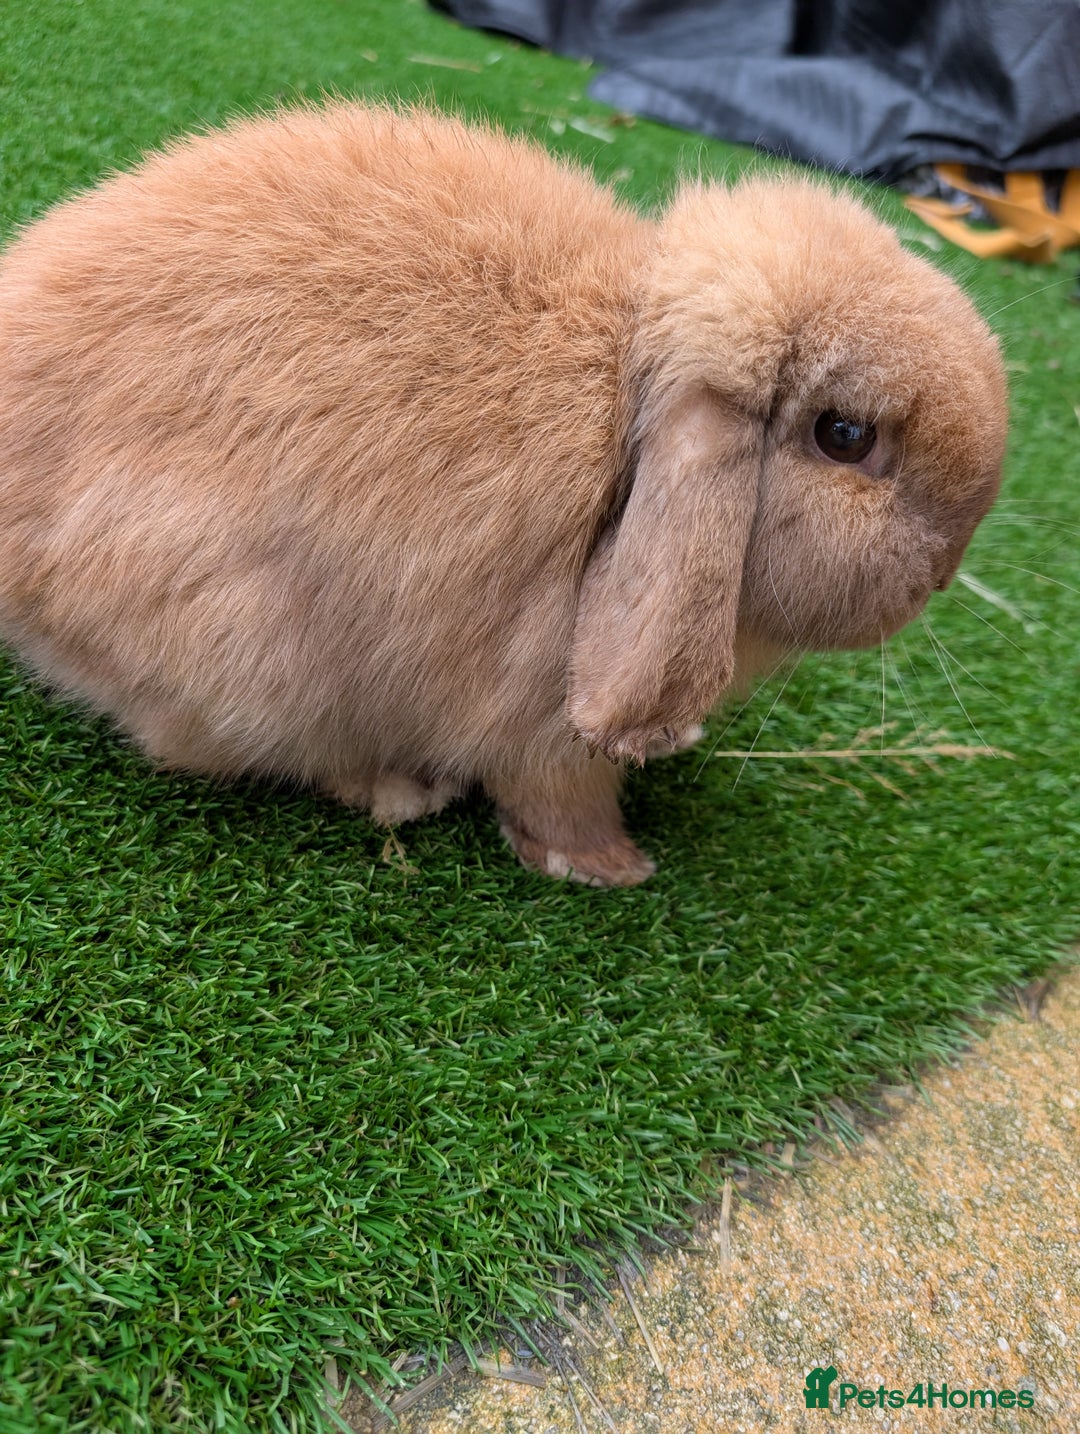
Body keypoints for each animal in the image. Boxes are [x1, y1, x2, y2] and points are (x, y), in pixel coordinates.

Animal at [0, 102, 1007, 886]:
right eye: (846, 436)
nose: (946, 572)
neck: (627, 387)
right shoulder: (542, 721)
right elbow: (559, 796)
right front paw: (610, 868)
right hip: (247, 649)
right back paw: (405, 792)